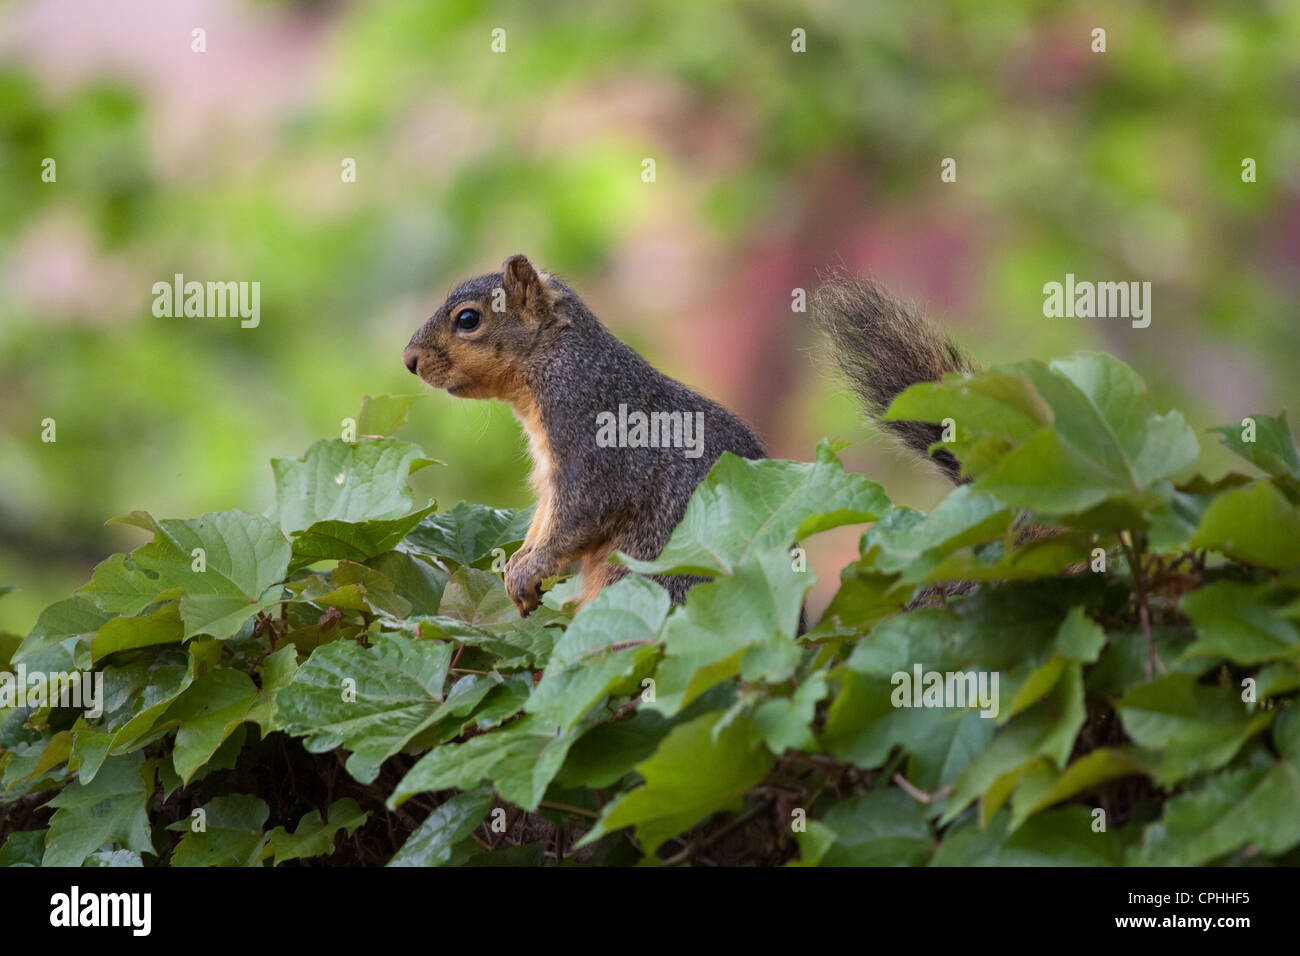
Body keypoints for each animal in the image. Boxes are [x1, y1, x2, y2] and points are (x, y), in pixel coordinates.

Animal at [400, 254, 972, 616]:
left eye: (468, 320)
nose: (409, 361)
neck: (556, 362)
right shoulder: (550, 475)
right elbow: (546, 519)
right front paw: (520, 562)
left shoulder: (594, 443)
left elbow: (579, 515)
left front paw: (526, 570)